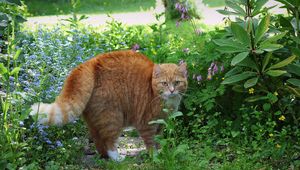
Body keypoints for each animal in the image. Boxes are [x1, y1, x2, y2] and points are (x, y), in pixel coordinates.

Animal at [29, 50, 186, 161]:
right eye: (164, 83)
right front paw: (155, 156)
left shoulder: (161, 124)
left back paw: (104, 156)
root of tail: (92, 62)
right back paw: (116, 157)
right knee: (109, 140)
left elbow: (158, 141)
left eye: (177, 83)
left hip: (95, 119)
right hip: (113, 117)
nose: (172, 90)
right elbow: (151, 143)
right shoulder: (146, 124)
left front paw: (161, 152)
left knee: (98, 139)